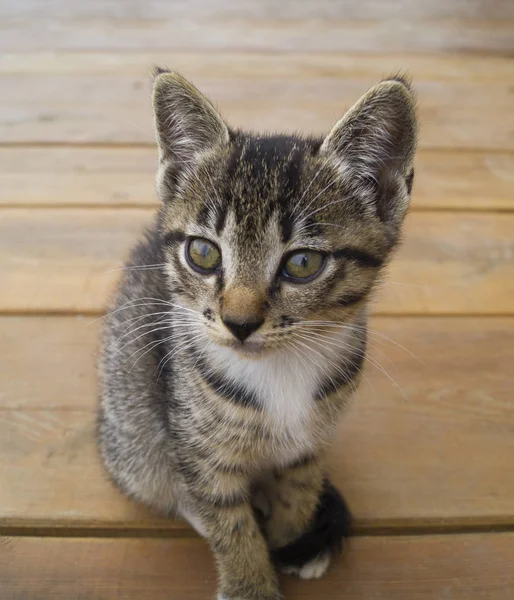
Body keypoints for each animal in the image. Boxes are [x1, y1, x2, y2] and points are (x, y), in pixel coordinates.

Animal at [97, 68, 416, 596]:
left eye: (303, 263)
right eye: (203, 253)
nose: (239, 323)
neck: (281, 370)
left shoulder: (312, 440)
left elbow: (299, 488)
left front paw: (294, 537)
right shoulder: (197, 444)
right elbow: (226, 518)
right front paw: (250, 581)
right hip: (132, 431)